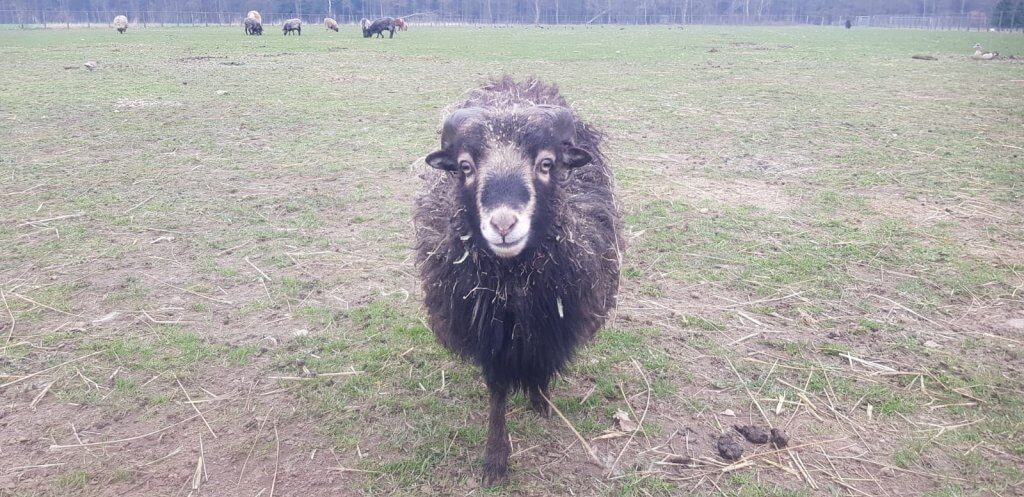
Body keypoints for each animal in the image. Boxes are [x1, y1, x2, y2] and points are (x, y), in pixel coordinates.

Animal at [413, 76, 623, 486]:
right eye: (465, 166)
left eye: (547, 163)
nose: (503, 224)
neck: (514, 283)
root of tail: (514, 84)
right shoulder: (489, 335)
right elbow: (497, 392)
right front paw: (496, 459)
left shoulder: (552, 321)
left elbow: (542, 362)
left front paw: (541, 402)